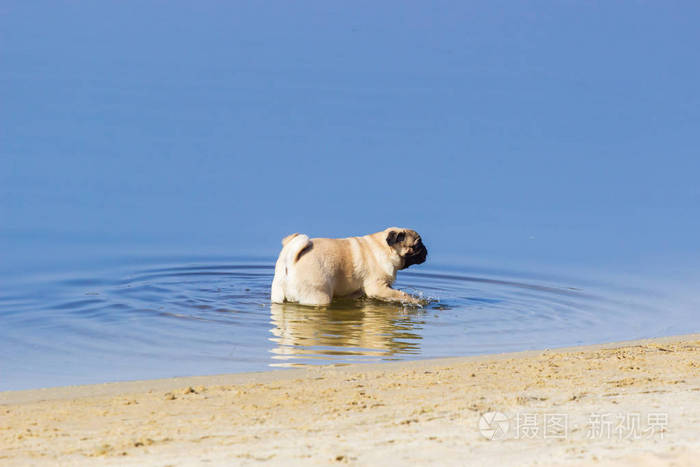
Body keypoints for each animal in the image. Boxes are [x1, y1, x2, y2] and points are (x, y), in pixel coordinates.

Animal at [272, 228, 426, 308]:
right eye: (416, 245)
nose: (425, 250)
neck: (383, 248)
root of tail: (291, 260)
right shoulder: (378, 287)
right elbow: (401, 294)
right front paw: (416, 301)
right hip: (318, 295)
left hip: (277, 295)